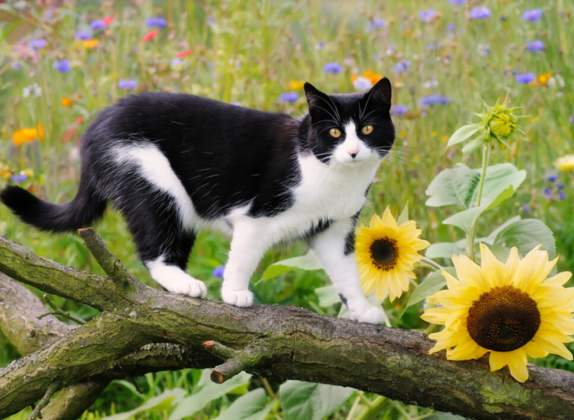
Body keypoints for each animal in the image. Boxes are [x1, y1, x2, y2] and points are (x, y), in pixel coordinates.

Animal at [1, 77, 396, 324]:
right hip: (151, 182)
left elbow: (346, 272)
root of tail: (96, 126)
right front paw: (234, 293)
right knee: (153, 248)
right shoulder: (256, 218)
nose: (353, 151)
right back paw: (185, 285)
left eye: (367, 129)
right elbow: (242, 257)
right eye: (334, 132)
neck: (332, 177)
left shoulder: (334, 229)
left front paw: (363, 310)